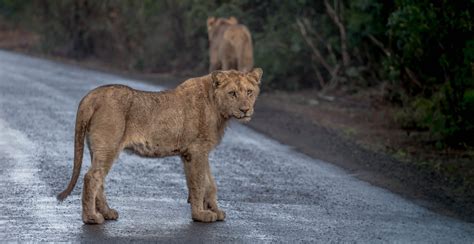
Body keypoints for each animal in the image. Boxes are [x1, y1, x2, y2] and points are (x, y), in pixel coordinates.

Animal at [56, 67, 262, 224]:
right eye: (232, 93)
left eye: (249, 92)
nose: (245, 110)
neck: (218, 109)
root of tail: (92, 95)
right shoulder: (195, 151)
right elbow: (198, 184)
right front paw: (200, 215)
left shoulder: (199, 151)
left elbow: (210, 183)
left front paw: (215, 211)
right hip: (108, 146)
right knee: (92, 177)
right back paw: (91, 218)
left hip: (97, 149)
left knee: (99, 179)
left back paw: (107, 213)